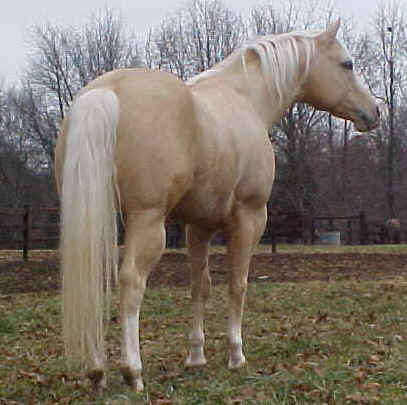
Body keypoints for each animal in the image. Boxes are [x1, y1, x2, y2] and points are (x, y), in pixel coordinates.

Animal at [55, 20, 379, 392]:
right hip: (147, 222)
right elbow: (237, 283)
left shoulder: (199, 225)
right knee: (131, 282)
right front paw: (236, 355)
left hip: (96, 221)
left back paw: (97, 372)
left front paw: (196, 356)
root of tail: (105, 92)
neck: (245, 99)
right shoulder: (249, 218)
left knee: (95, 282)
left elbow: (201, 286)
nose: (374, 112)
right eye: (347, 64)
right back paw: (132, 371)